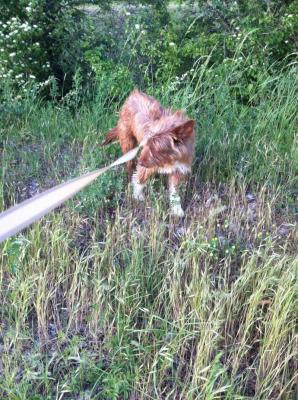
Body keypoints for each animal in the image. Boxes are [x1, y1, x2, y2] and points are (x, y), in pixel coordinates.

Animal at [102, 89, 196, 217]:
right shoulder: (146, 168)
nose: (140, 162)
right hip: (128, 143)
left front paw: (176, 209)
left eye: (155, 148)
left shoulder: (178, 170)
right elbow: (139, 180)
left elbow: (174, 193)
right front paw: (138, 196)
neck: (170, 159)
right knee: (130, 165)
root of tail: (134, 94)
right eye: (147, 143)